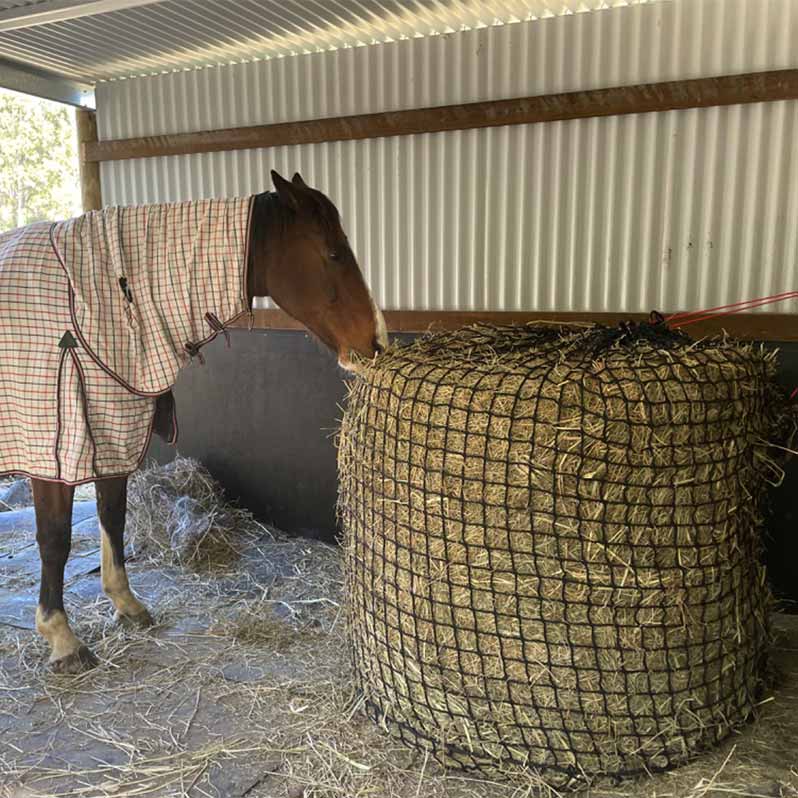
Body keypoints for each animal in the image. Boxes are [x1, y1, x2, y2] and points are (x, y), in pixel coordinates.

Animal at [1, 170, 386, 673]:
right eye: (334, 253)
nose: (376, 341)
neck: (91, 303)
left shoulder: (112, 432)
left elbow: (112, 517)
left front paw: (125, 603)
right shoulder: (52, 453)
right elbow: (54, 540)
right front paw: (62, 638)